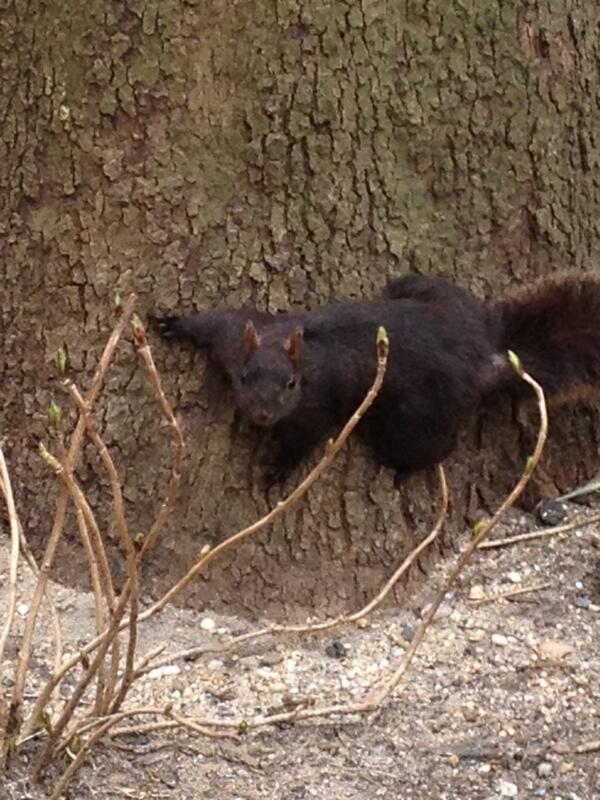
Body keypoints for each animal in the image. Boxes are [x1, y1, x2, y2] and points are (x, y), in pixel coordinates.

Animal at [149, 274, 600, 487]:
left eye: (291, 385)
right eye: (244, 377)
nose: (261, 415)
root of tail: (485, 355)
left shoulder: (318, 405)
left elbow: (304, 439)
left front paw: (277, 469)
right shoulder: (235, 336)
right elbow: (214, 320)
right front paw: (173, 324)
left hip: (413, 418)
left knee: (433, 446)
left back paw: (405, 471)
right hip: (432, 291)